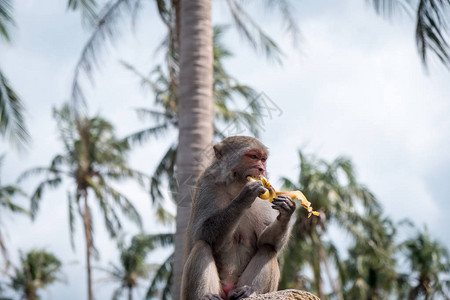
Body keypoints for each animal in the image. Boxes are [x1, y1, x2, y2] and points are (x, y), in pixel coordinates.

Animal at [180, 137, 296, 300]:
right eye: (253, 156)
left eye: (263, 159)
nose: (261, 169)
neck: (236, 186)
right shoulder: (206, 184)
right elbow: (201, 232)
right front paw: (244, 197)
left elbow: (266, 240)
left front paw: (286, 212)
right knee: (201, 245)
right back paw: (207, 296)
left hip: (240, 285)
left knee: (268, 249)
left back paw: (249, 291)